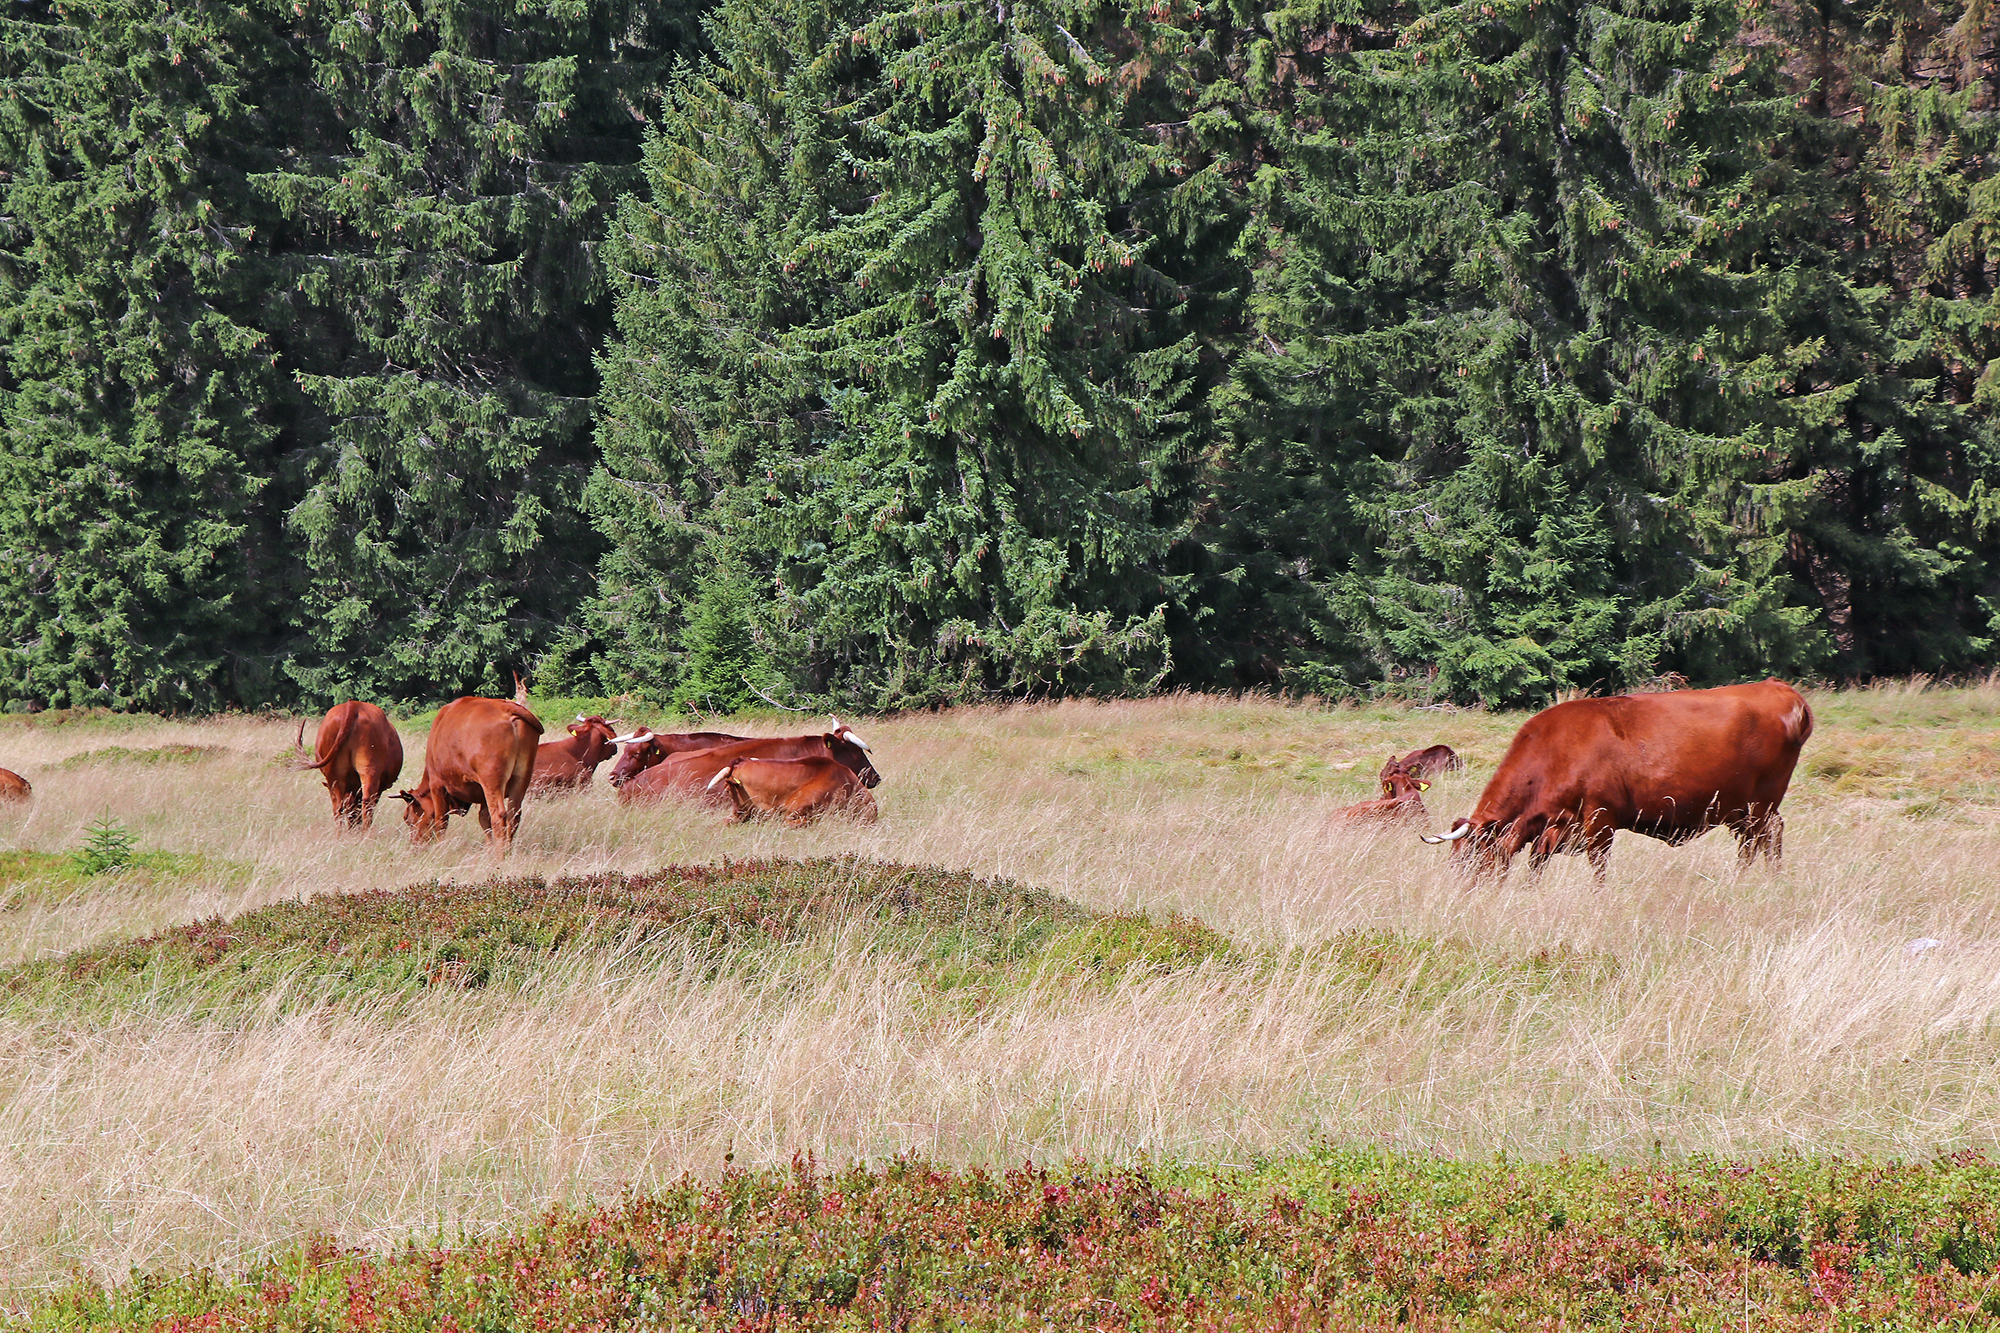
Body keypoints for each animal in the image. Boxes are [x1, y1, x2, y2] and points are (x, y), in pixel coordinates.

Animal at [396, 688, 544, 844]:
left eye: (408, 818)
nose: (415, 843)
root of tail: (506, 708)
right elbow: (484, 820)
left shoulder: (437, 784)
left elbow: (441, 822)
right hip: (521, 778)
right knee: (513, 815)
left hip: (492, 781)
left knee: (499, 816)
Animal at [1424, 676, 1816, 880]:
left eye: (1469, 857)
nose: (1461, 893)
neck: (1554, 750)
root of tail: (1779, 687)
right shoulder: (1553, 828)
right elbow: (1537, 865)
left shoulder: (1600, 822)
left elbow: (1598, 870)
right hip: (1739, 811)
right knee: (1756, 842)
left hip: (1758, 805)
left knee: (1765, 838)